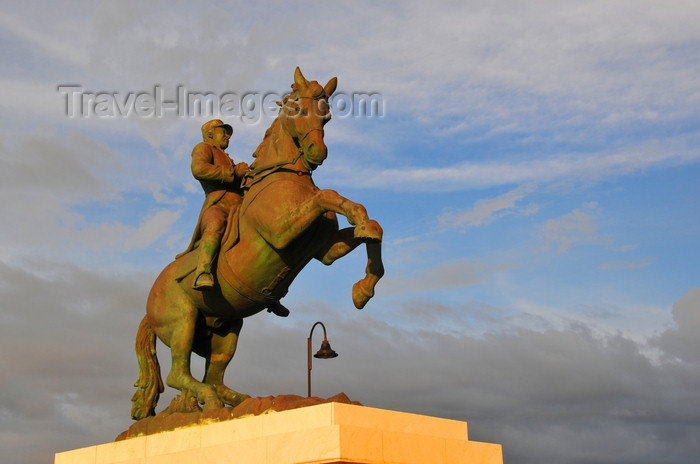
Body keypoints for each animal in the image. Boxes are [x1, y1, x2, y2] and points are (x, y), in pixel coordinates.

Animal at [131, 68, 382, 420]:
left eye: (328, 115)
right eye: (298, 109)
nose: (317, 154)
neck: (285, 176)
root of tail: (148, 305)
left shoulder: (324, 251)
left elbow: (370, 228)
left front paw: (363, 290)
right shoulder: (282, 231)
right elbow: (328, 195)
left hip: (226, 330)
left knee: (214, 376)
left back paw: (245, 402)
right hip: (182, 322)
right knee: (178, 374)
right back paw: (212, 402)